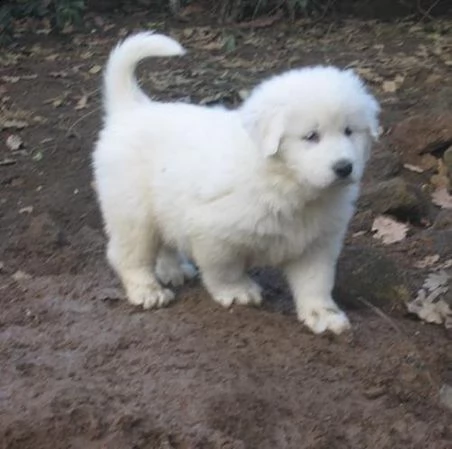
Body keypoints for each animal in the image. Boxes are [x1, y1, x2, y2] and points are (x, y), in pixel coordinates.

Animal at [93, 31, 380, 332]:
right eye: (311, 136)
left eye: (349, 131)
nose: (344, 167)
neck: (286, 183)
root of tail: (132, 109)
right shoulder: (214, 234)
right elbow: (224, 270)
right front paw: (238, 292)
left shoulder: (317, 243)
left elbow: (316, 281)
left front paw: (323, 314)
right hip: (132, 210)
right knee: (128, 254)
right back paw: (147, 290)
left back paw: (174, 269)